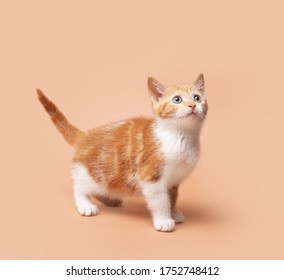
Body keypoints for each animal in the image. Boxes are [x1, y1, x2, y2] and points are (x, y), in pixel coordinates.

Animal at [36, 74, 207, 232]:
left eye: (197, 98)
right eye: (177, 100)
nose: (192, 105)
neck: (181, 135)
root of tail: (85, 136)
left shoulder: (174, 180)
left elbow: (172, 197)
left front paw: (174, 212)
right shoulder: (151, 177)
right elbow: (160, 201)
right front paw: (164, 220)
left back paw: (110, 200)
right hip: (91, 173)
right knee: (79, 187)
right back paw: (85, 205)